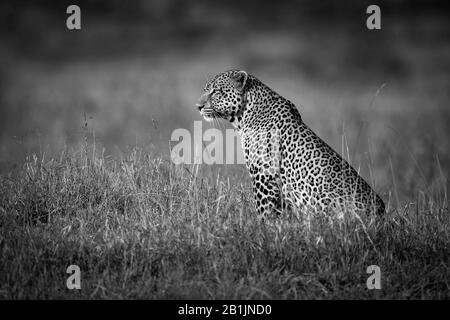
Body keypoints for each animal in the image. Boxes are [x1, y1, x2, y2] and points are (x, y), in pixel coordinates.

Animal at [195, 69, 384, 216]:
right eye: (205, 90)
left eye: (216, 92)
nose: (198, 106)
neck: (245, 115)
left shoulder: (263, 175)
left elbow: (264, 211)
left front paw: (263, 230)